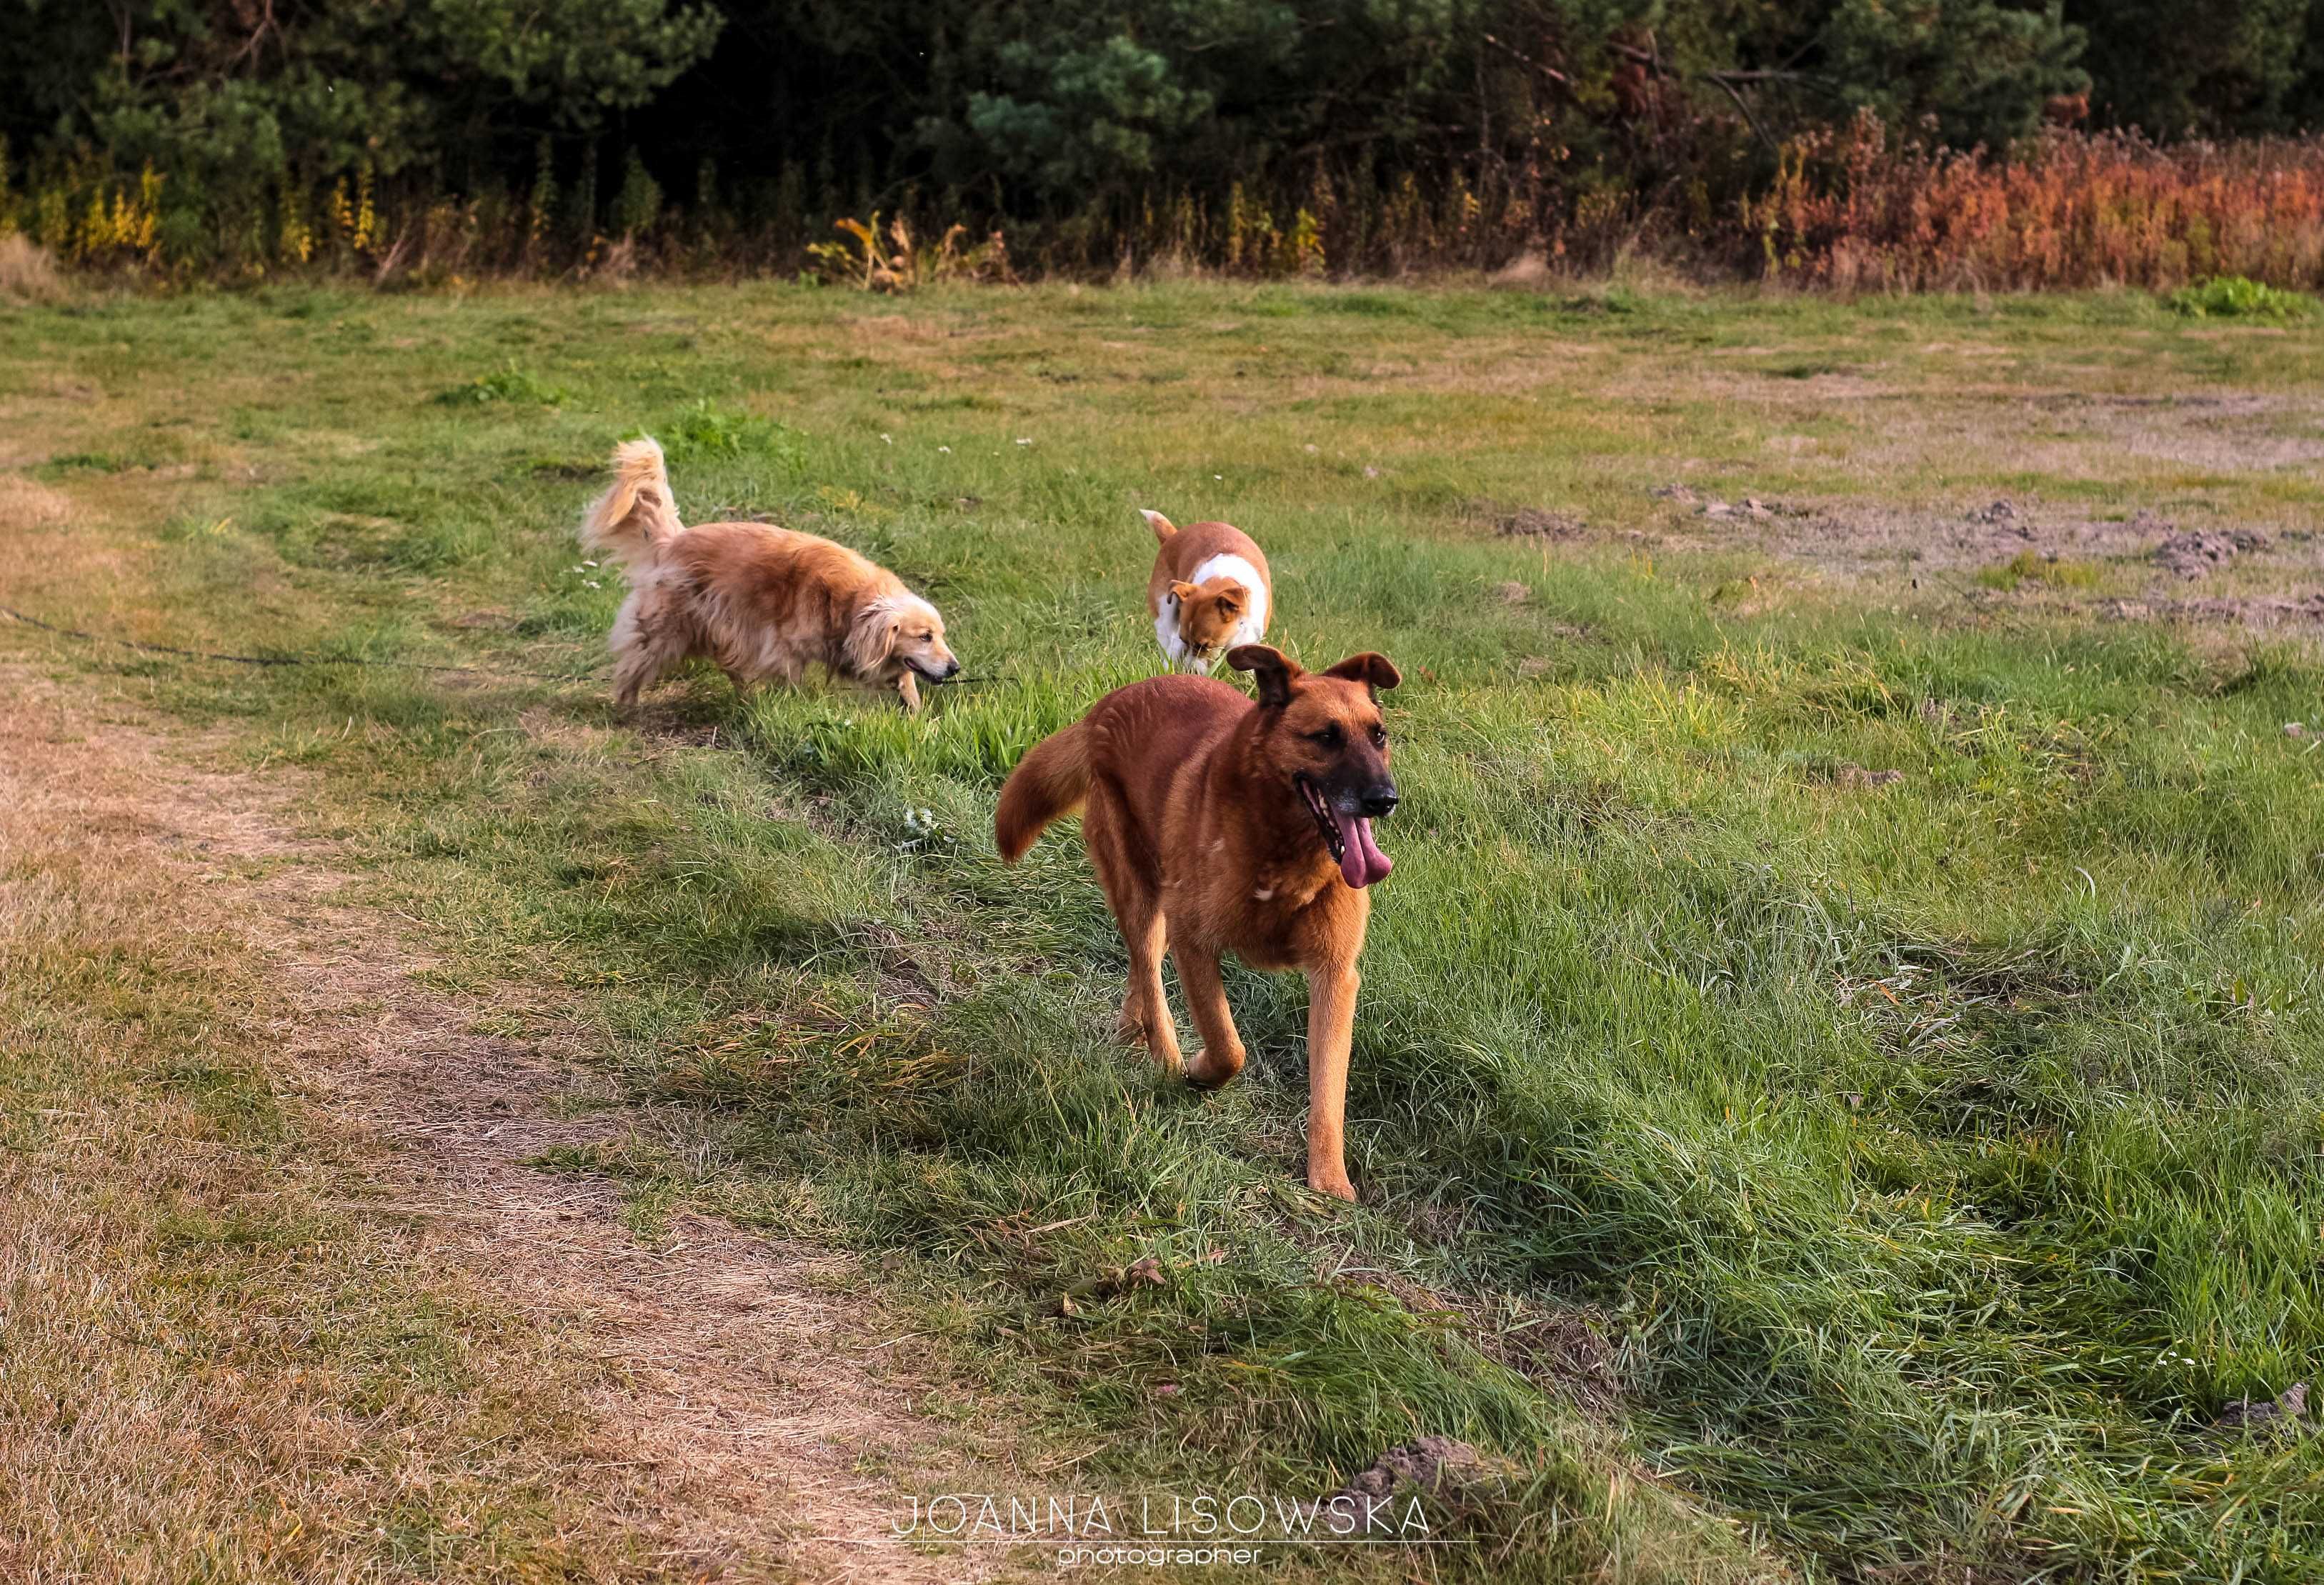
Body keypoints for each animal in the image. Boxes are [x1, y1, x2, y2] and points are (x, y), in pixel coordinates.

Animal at [585, 429, 957, 706]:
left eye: (939, 635)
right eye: (924, 637)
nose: (955, 668)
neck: (848, 600)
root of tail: (672, 541)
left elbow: (903, 675)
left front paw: (914, 707)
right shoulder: (783, 647)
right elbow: (792, 679)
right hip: (665, 630)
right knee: (634, 666)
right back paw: (628, 707)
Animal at [994, 636, 1394, 1189]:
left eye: (1378, 736)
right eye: (1326, 737)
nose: (1384, 799)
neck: (1283, 852)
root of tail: (1106, 707)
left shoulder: (1334, 976)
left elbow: (1328, 1092)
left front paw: (1330, 1183)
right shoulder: (1196, 945)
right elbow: (1228, 1046)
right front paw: (1199, 1070)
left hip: (1162, 908)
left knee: (1141, 971)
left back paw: (1130, 1032)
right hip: (1143, 896)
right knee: (1147, 968)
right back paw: (1163, 1055)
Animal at [1138, 509, 1273, 669]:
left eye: (1204, 646)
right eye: (1185, 640)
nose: (1190, 670)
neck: (1225, 578)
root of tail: (1173, 535)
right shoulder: (1178, 639)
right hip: (1165, 614)